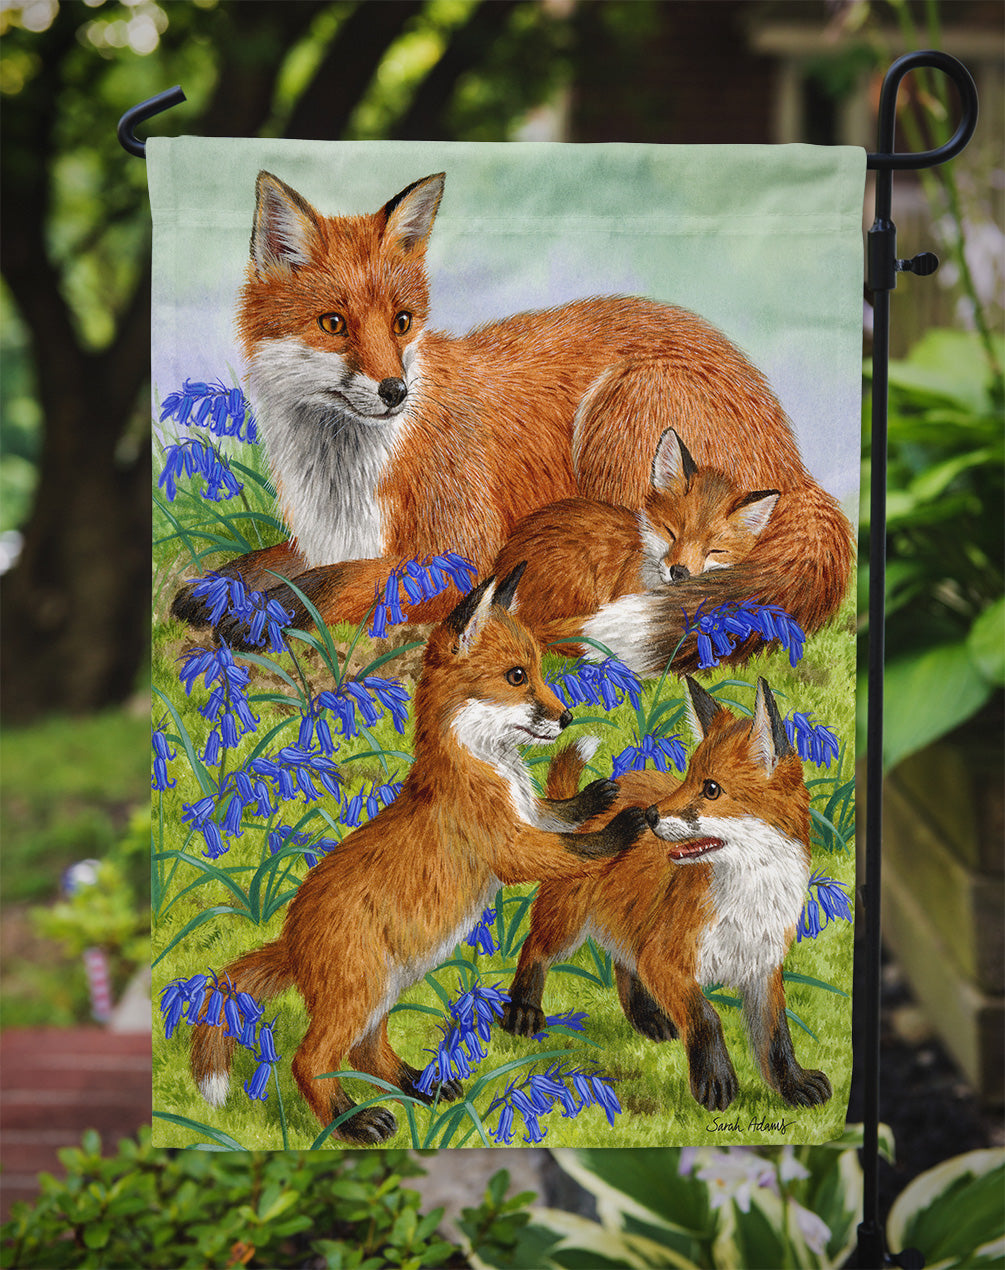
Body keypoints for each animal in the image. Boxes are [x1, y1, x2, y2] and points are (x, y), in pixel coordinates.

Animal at [189, 564, 655, 1142]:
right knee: (310, 1060)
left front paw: (597, 796)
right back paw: (354, 1122)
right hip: (359, 991)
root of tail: (292, 938)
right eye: (517, 677)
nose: (567, 716)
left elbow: (559, 814)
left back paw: (421, 1086)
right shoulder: (506, 844)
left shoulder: (527, 816)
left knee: (367, 1052)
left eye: (541, 671)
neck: (486, 767)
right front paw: (625, 826)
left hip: (382, 992)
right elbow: (576, 846)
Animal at [502, 676, 833, 1114]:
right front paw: (716, 1080)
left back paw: (648, 1018)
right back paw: (523, 1010)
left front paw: (793, 1084)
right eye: (687, 778)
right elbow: (707, 1015)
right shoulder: (665, 959)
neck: (748, 903)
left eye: (711, 789)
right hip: (567, 923)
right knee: (535, 949)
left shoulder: (762, 967)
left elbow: (777, 1036)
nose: (651, 815)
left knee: (624, 964)